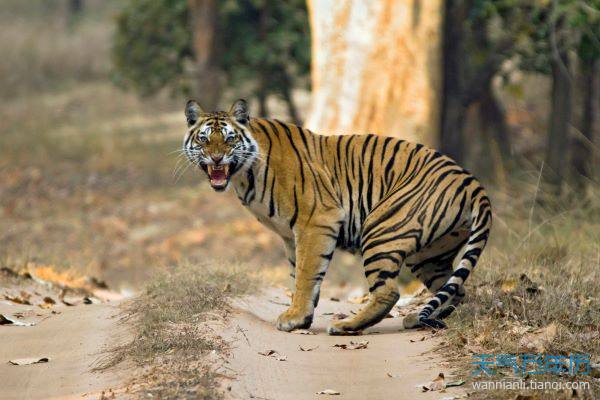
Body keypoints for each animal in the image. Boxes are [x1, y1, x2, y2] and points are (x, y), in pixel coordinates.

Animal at [183, 98, 492, 332]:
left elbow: (306, 273)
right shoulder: (290, 235)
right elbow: (299, 274)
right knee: (455, 290)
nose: (216, 158)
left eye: (229, 138)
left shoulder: (315, 222)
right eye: (204, 139)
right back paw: (419, 318)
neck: (243, 175)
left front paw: (294, 317)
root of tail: (473, 183)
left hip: (381, 229)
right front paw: (302, 316)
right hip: (428, 255)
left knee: (389, 292)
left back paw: (346, 326)